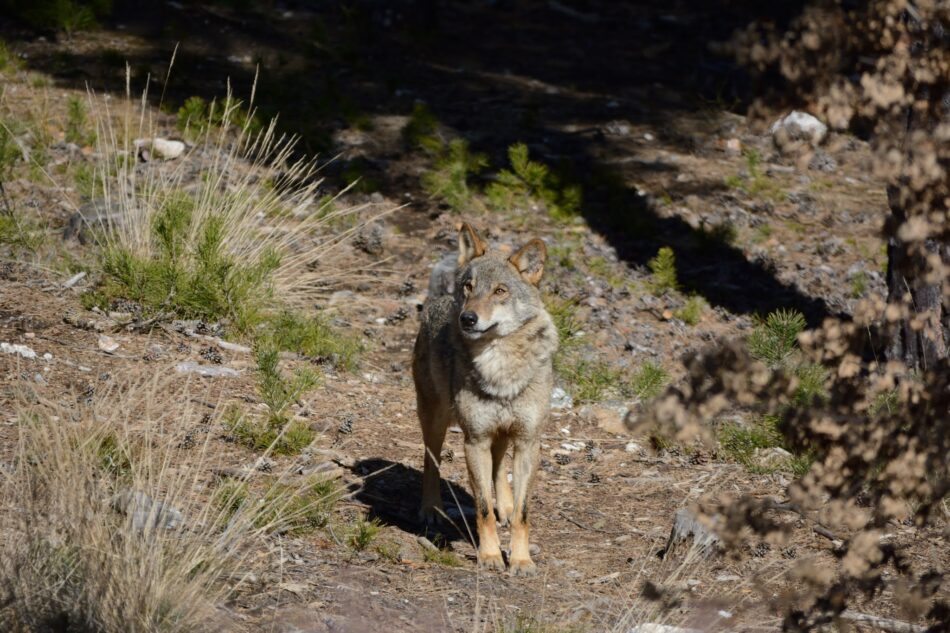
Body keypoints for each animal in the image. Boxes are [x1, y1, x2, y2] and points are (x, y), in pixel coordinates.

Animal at [412, 222, 558, 576]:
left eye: (500, 291)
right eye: (469, 286)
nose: (467, 318)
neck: (501, 369)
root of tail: (436, 299)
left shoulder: (528, 441)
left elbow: (522, 513)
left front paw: (521, 560)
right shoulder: (474, 440)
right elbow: (482, 509)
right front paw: (491, 556)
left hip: (503, 434)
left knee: (499, 465)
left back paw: (504, 502)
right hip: (435, 419)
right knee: (431, 460)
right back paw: (431, 508)